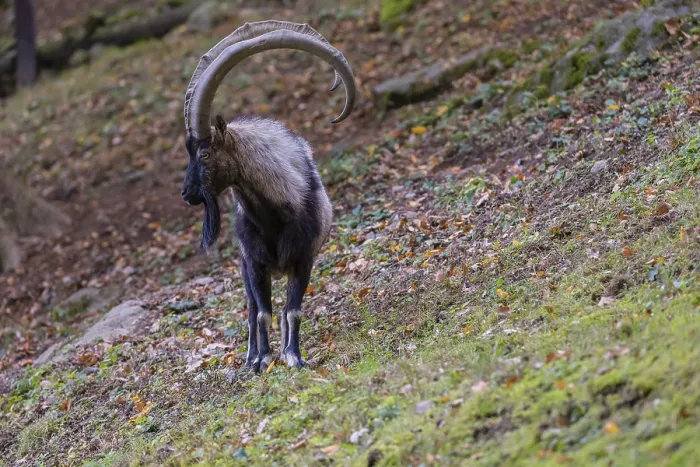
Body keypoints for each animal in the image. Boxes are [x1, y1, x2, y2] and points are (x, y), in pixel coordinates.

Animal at [180, 21, 356, 372]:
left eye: (204, 154)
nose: (186, 193)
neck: (275, 214)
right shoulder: (254, 263)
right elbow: (261, 313)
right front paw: (261, 360)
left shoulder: (304, 259)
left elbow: (293, 310)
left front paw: (294, 357)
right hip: (245, 268)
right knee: (251, 310)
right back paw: (250, 357)